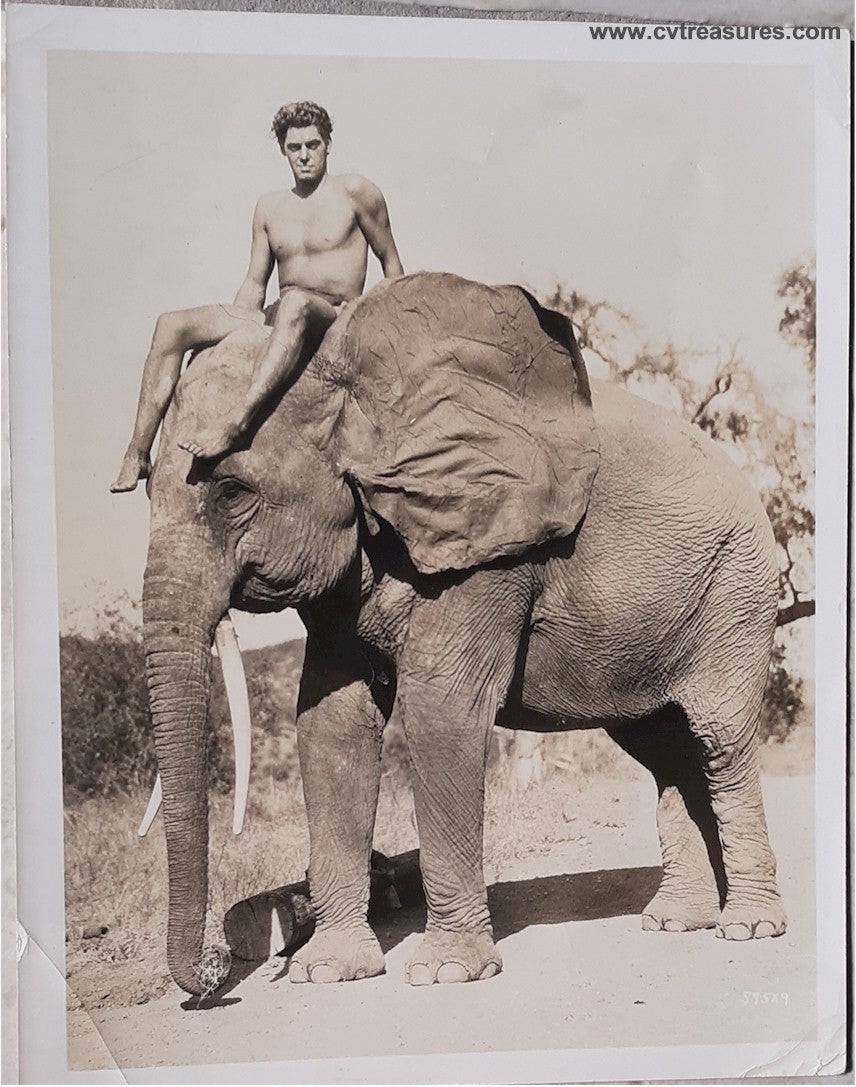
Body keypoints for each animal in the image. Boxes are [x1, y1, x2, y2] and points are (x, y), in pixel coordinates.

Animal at [142, 269, 791, 995]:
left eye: (231, 490)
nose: (211, 977)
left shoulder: (492, 548)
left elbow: (440, 708)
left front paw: (446, 972)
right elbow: (331, 723)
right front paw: (328, 972)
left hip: (736, 591)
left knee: (718, 738)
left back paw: (748, 928)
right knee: (665, 747)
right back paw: (676, 922)